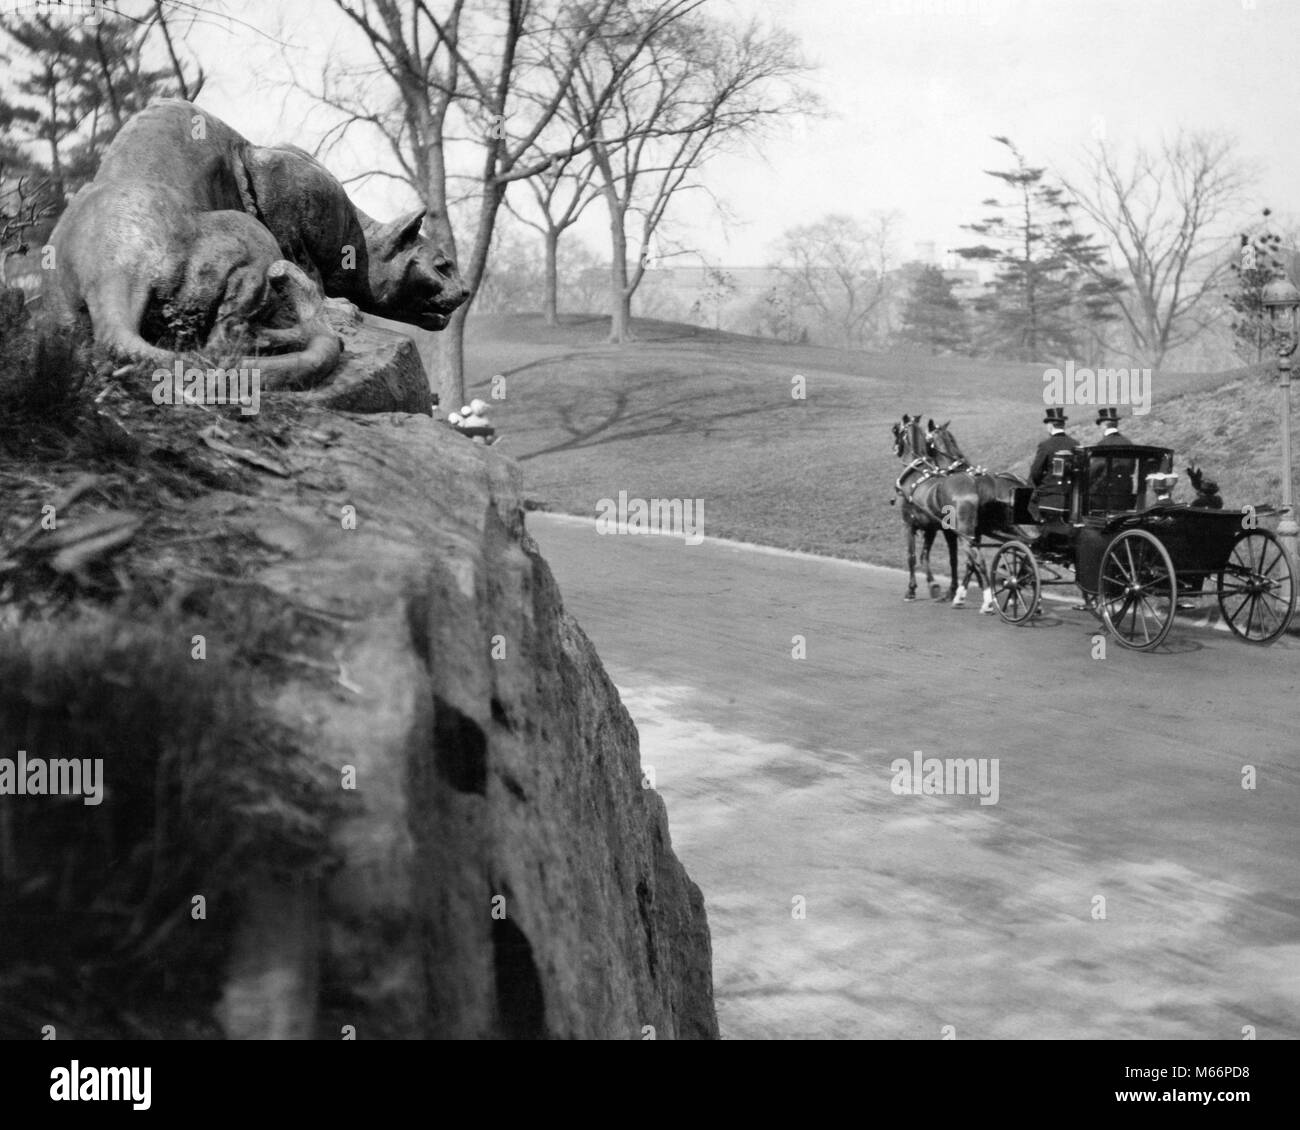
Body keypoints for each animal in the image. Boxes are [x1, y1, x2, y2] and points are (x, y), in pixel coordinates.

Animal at [894, 413, 993, 608]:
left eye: (896, 430)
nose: (895, 448)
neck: (917, 474)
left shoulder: (909, 525)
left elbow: (912, 557)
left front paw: (911, 590)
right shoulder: (932, 529)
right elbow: (929, 556)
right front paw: (935, 586)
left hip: (965, 533)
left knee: (977, 559)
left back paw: (986, 600)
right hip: (970, 533)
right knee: (974, 560)